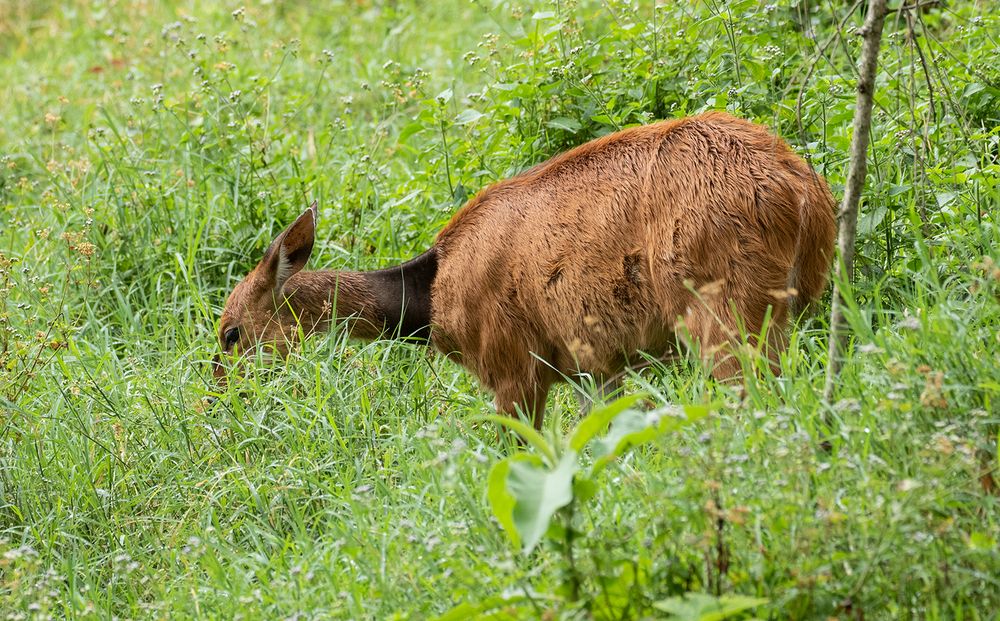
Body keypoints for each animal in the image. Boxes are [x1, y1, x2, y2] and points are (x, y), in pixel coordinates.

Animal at [215, 112, 840, 426]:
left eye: (230, 334)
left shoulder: (513, 365)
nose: (221, 398)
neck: (430, 295)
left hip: (727, 310)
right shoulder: (598, 365)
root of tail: (804, 193)